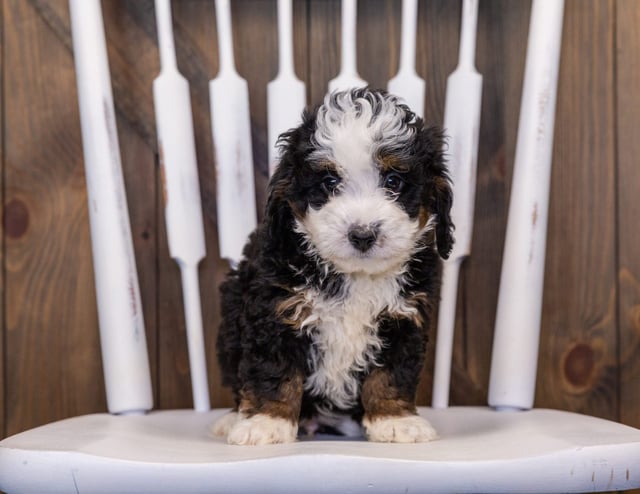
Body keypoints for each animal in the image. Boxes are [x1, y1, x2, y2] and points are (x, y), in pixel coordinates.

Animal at [212, 87, 452, 446]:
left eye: (394, 181)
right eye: (328, 182)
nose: (362, 234)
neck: (356, 274)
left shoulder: (404, 319)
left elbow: (392, 373)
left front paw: (395, 419)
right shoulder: (274, 311)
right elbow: (274, 370)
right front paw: (267, 422)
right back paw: (235, 417)